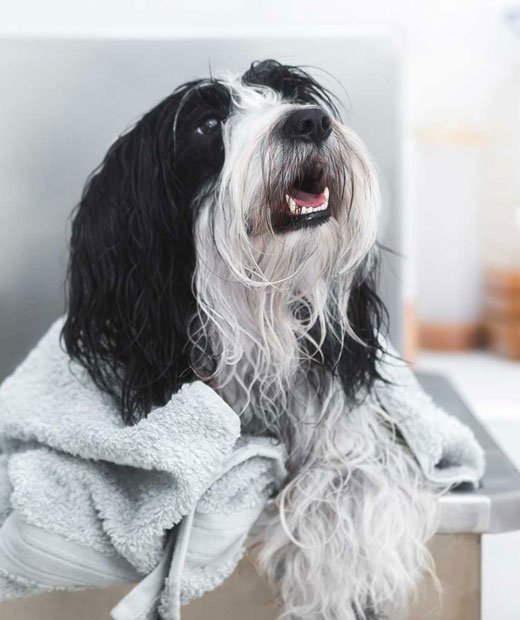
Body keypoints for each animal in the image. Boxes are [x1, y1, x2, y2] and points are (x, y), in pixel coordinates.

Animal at [61, 59, 436, 620]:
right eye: (207, 124)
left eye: (291, 92)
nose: (309, 122)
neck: (260, 315)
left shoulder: (350, 425)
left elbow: (352, 481)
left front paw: (339, 589)